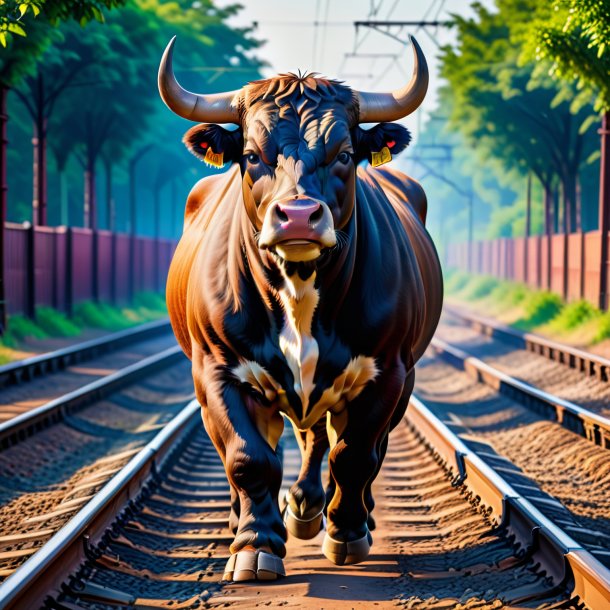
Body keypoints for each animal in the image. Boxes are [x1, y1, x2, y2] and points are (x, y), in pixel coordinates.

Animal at [157, 36, 442, 580]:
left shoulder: (389, 372)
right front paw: (255, 545)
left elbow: (354, 455)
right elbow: (249, 458)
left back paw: (324, 512)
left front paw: (346, 533)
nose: (297, 216)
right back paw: (263, 516)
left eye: (345, 153)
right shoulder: (216, 371)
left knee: (332, 442)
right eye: (251, 155)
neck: (300, 291)